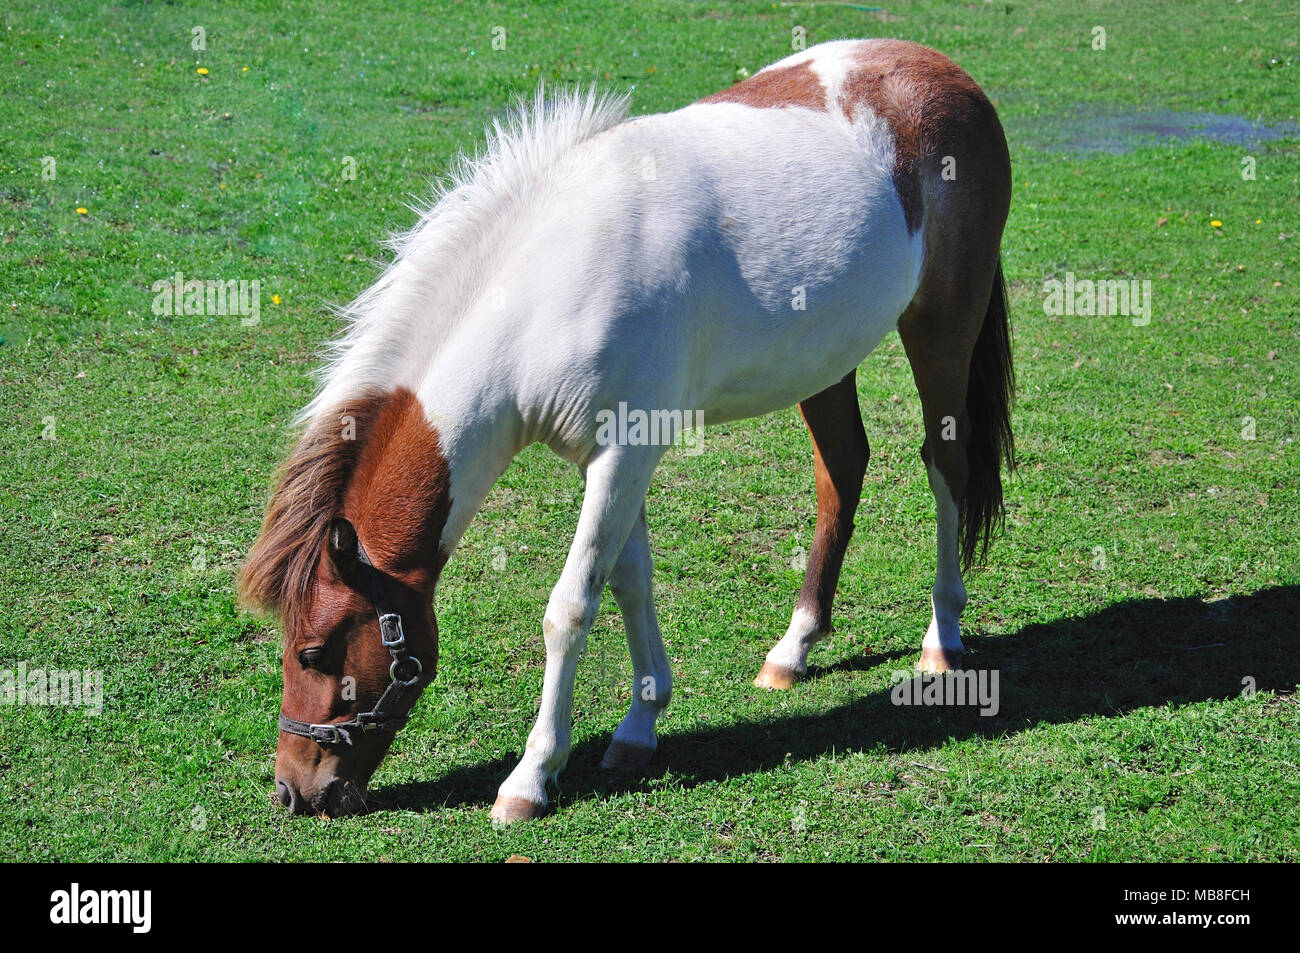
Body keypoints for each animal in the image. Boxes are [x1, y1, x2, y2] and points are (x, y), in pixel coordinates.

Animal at [244, 39, 1013, 816]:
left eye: (314, 652)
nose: (291, 789)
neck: (549, 288)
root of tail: (946, 73)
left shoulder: (620, 456)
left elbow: (571, 607)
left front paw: (530, 778)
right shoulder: (618, 458)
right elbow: (629, 582)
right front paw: (640, 726)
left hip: (942, 326)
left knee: (944, 466)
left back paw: (943, 637)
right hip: (825, 360)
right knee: (843, 471)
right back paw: (793, 648)